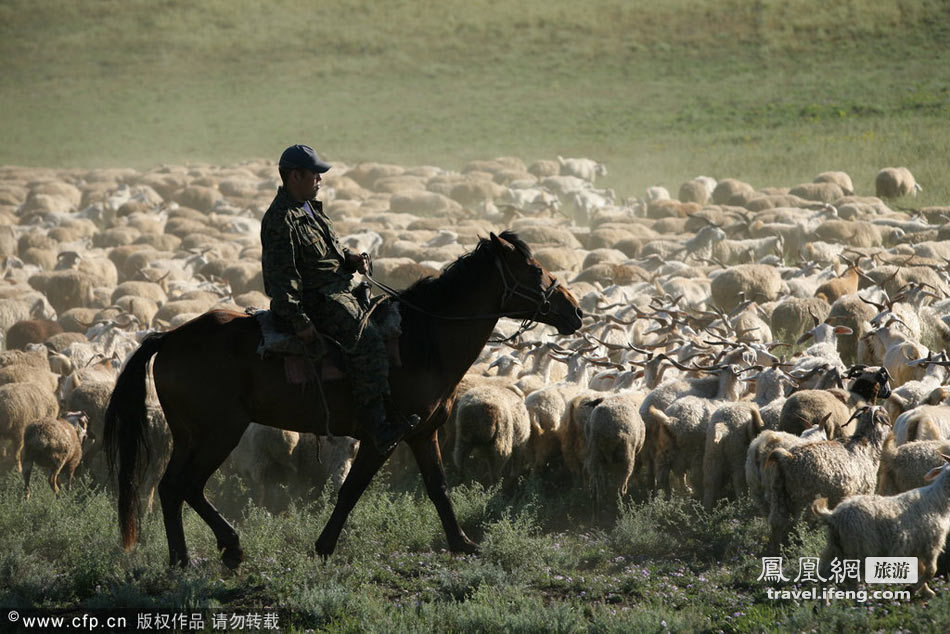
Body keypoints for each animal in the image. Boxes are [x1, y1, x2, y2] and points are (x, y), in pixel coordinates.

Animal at [102, 230, 580, 564]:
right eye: (533, 269)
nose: (574, 311)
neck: (421, 339)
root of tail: (168, 337)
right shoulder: (380, 437)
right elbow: (351, 490)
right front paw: (324, 545)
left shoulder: (422, 434)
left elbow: (439, 487)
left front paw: (462, 543)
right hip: (219, 432)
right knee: (186, 485)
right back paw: (223, 549)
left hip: (191, 435)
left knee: (171, 488)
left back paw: (188, 557)